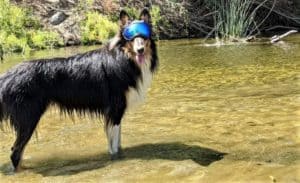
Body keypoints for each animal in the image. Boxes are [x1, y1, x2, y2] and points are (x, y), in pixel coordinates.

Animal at [0, 8, 158, 172]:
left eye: (144, 36)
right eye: (131, 37)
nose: (140, 50)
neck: (123, 58)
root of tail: (6, 76)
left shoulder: (117, 113)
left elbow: (118, 142)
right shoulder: (115, 110)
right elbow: (114, 146)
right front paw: (116, 159)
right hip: (28, 119)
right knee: (15, 152)